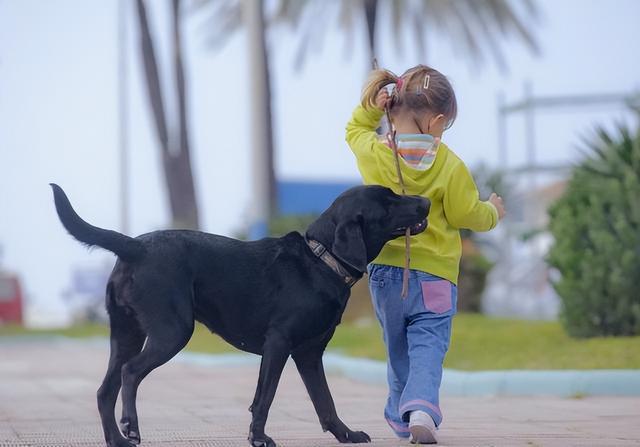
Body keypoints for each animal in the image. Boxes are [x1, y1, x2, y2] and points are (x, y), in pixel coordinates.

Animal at [51, 183, 430, 447]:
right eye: (388, 201)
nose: (426, 201)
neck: (321, 259)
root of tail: (135, 245)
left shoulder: (309, 354)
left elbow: (325, 401)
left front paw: (345, 434)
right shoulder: (278, 344)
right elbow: (264, 397)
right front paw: (259, 437)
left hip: (126, 334)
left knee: (105, 389)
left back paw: (116, 439)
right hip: (171, 332)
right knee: (130, 374)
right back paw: (130, 427)